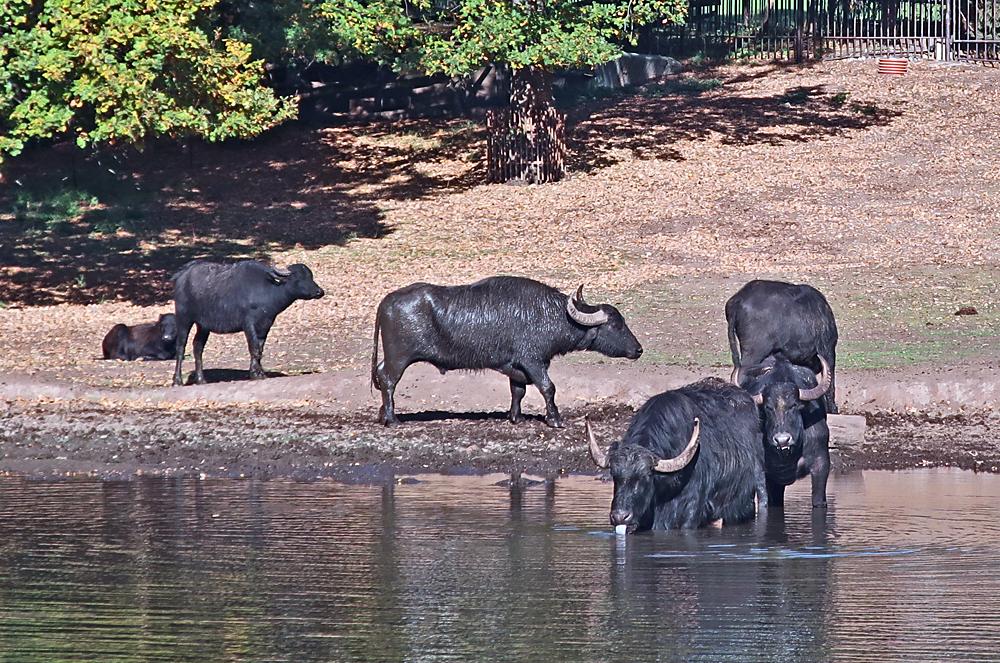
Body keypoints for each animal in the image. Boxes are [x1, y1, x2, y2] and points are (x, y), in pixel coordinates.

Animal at [171, 258, 324, 386]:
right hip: (184, 318)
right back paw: (177, 381)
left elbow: (260, 349)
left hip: (203, 325)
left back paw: (201, 380)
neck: (267, 289)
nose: (319, 292)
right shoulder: (248, 324)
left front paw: (259, 372)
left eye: (310, 276)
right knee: (180, 347)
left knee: (197, 347)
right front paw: (256, 374)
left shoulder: (265, 325)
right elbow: (254, 348)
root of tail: (182, 275)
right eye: (298, 277)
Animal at [372, 276, 644, 428]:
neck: (552, 315)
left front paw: (516, 418)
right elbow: (548, 388)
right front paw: (555, 419)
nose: (639, 349)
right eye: (615, 325)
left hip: (391, 357)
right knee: (388, 380)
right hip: (399, 358)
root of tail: (385, 301)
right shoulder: (533, 361)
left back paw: (383, 415)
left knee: (381, 375)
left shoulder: (517, 367)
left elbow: (518, 391)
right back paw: (393, 420)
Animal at [732, 356, 832, 510]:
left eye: (794, 405)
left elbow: (818, 499)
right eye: (768, 407)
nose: (782, 440)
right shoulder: (760, 469)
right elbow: (764, 500)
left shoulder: (820, 462)